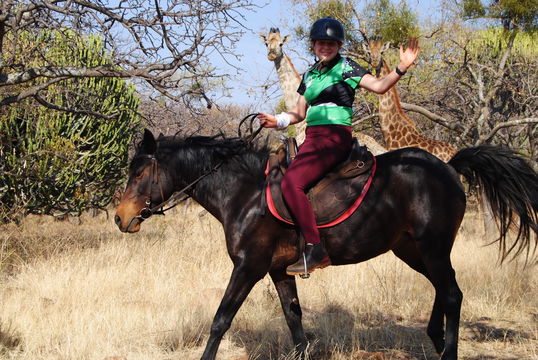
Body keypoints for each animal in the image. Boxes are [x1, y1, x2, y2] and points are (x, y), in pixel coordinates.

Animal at [115, 129, 532, 360]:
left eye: (140, 171)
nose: (120, 218)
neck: (246, 193)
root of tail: (447, 166)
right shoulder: (278, 271)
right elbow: (295, 323)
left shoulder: (249, 267)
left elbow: (220, 321)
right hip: (412, 249)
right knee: (445, 290)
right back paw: (436, 338)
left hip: (430, 247)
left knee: (451, 294)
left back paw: (448, 351)